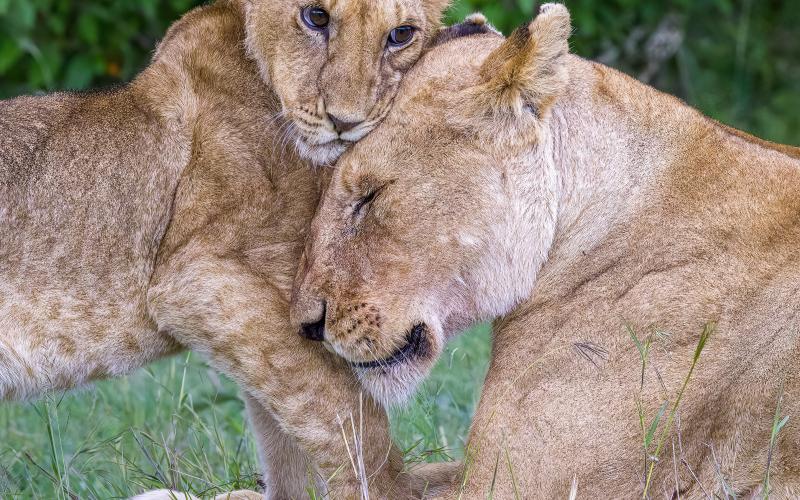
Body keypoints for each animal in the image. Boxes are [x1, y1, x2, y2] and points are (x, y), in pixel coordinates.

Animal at [0, 0, 456, 494]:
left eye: (401, 34)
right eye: (315, 16)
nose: (345, 122)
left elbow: (293, 441)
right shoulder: (194, 279)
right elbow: (348, 411)